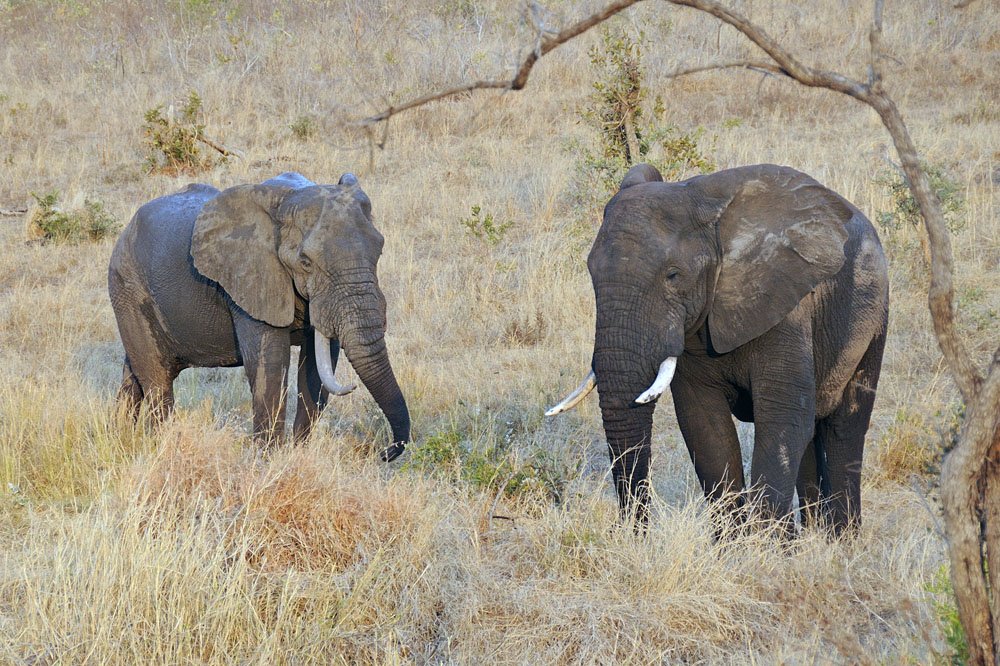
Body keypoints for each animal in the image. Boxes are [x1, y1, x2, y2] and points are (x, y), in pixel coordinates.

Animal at [108, 172, 409, 461]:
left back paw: (121, 437)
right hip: (127, 288)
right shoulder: (251, 278)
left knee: (134, 373)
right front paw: (268, 460)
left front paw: (297, 455)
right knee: (157, 379)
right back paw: (163, 444)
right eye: (305, 262)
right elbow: (270, 364)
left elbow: (317, 368)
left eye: (379, 250)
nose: (384, 453)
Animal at [547, 163, 888, 534]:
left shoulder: (784, 306)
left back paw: (841, 539)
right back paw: (812, 534)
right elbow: (706, 427)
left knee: (845, 428)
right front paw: (734, 543)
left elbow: (783, 419)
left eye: (673, 275)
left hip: (874, 316)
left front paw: (764, 546)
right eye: (591, 273)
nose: (633, 535)